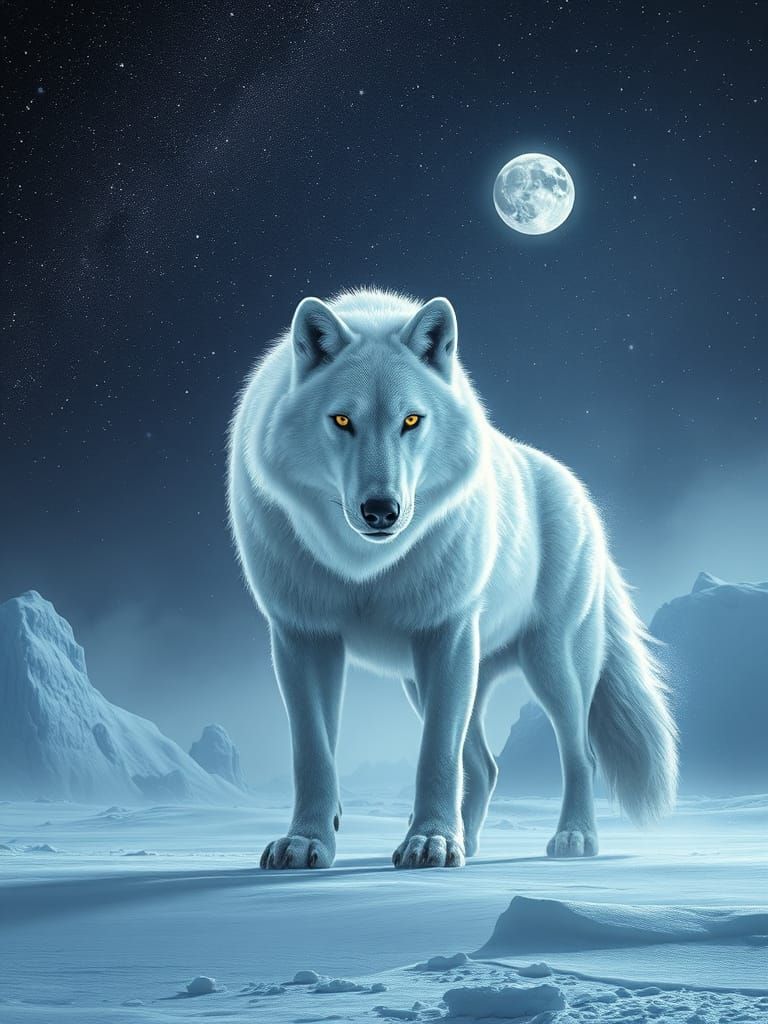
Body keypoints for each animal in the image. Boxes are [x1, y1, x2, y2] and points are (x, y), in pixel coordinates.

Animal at [228, 288, 678, 870]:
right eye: (342, 420)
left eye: (412, 420)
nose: (381, 511)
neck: (365, 567)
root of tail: (582, 496)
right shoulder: (302, 636)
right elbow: (313, 753)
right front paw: (307, 842)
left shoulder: (447, 633)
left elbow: (435, 754)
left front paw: (431, 842)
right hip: (424, 679)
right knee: (485, 766)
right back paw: (474, 843)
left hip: (550, 666)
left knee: (579, 754)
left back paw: (574, 838)